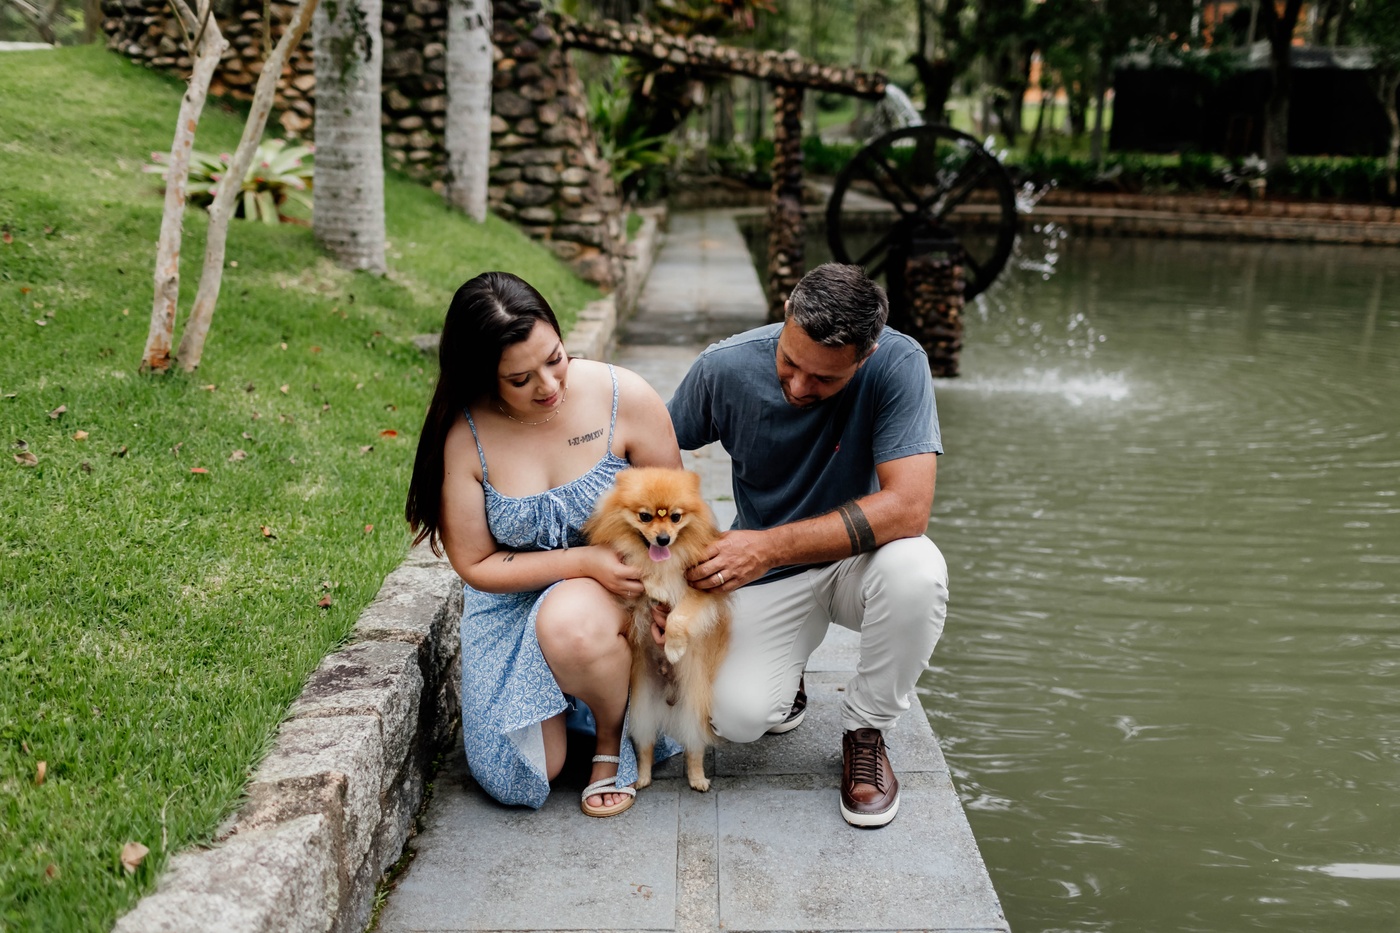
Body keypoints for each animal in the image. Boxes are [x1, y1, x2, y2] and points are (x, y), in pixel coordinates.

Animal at [584, 467, 731, 792]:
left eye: (675, 517)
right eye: (645, 516)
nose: (663, 539)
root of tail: (670, 697)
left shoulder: (701, 590)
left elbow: (679, 615)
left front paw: (674, 647)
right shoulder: (632, 589)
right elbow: (644, 578)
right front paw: (654, 583)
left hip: (693, 706)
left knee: (694, 748)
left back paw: (697, 778)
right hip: (641, 709)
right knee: (646, 745)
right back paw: (641, 777)